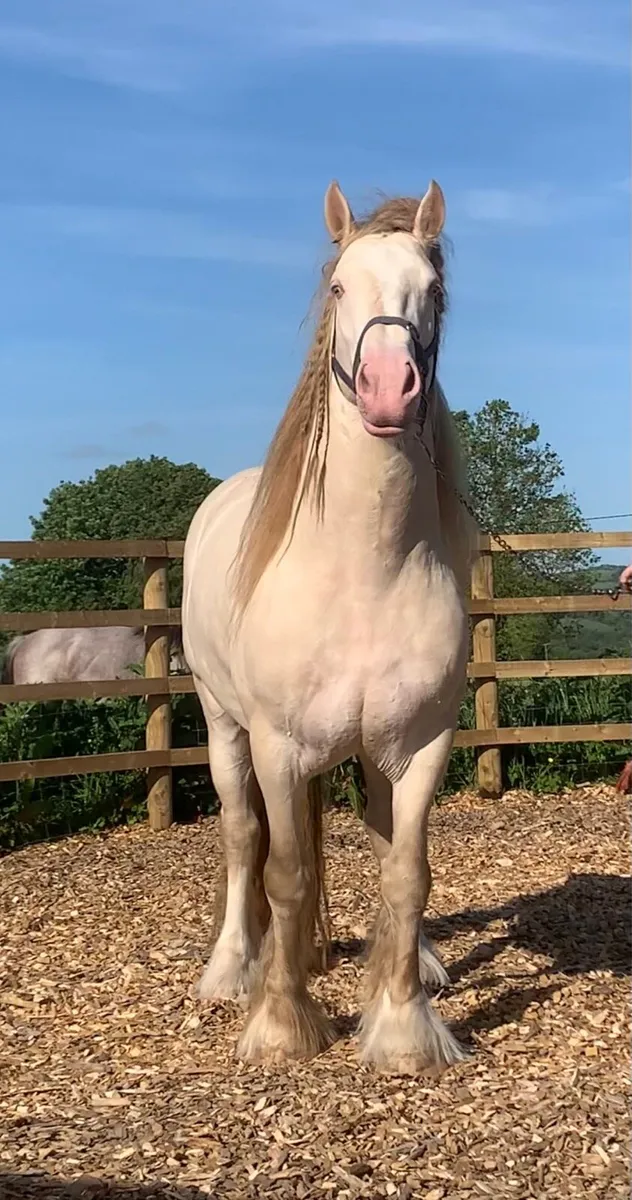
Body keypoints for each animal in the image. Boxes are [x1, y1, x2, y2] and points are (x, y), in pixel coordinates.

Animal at [182, 180, 478, 1075]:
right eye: (342, 287)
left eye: (433, 291)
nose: (387, 388)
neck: (365, 569)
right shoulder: (278, 748)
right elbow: (283, 873)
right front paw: (282, 1025)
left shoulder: (421, 745)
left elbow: (406, 871)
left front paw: (404, 1026)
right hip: (223, 724)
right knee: (243, 839)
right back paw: (232, 971)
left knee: (381, 845)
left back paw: (417, 963)